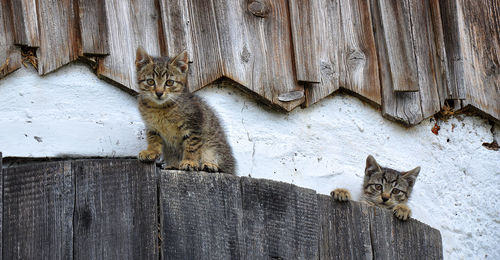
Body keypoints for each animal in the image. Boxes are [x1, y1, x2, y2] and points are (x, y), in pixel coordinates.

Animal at [135, 47, 236, 175]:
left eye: (169, 82)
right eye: (150, 81)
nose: (159, 93)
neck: (160, 108)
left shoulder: (194, 124)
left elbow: (191, 145)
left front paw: (189, 161)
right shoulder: (152, 126)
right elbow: (153, 139)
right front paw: (151, 152)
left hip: (213, 146)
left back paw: (209, 165)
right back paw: (172, 165)